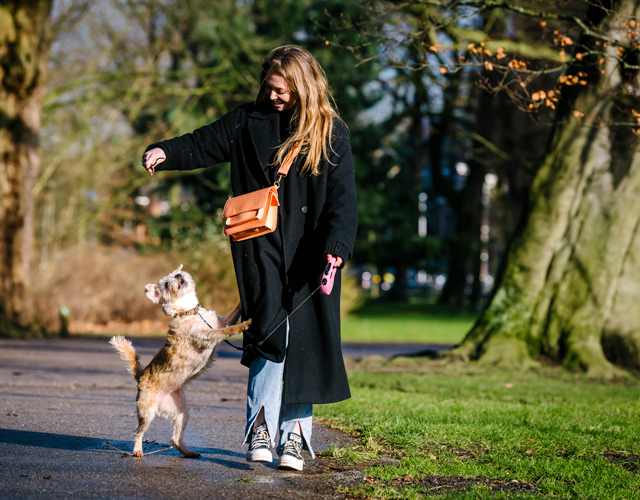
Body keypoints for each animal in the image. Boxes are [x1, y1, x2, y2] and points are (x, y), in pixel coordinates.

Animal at [109, 266, 251, 458]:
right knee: (138, 432)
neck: (189, 311)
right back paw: (138, 450)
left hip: (181, 413)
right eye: (166, 284)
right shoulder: (207, 335)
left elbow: (231, 315)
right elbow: (226, 331)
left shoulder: (220, 322)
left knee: (175, 439)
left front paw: (241, 303)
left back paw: (188, 452)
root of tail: (140, 375)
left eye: (175, 274)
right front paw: (243, 325)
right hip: (147, 411)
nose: (178, 275)